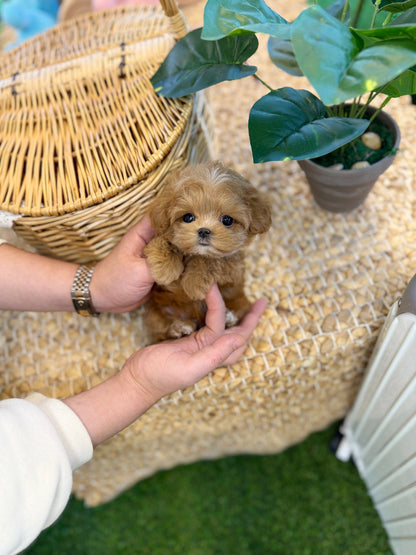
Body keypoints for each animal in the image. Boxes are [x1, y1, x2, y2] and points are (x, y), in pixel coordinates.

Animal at [145, 161, 272, 344]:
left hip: (238, 300)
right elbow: (162, 240)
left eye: (227, 220)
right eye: (188, 217)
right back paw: (179, 328)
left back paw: (228, 318)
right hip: (157, 311)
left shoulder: (232, 268)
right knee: (162, 329)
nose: (204, 231)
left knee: (241, 309)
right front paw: (165, 269)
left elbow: (211, 260)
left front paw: (194, 281)